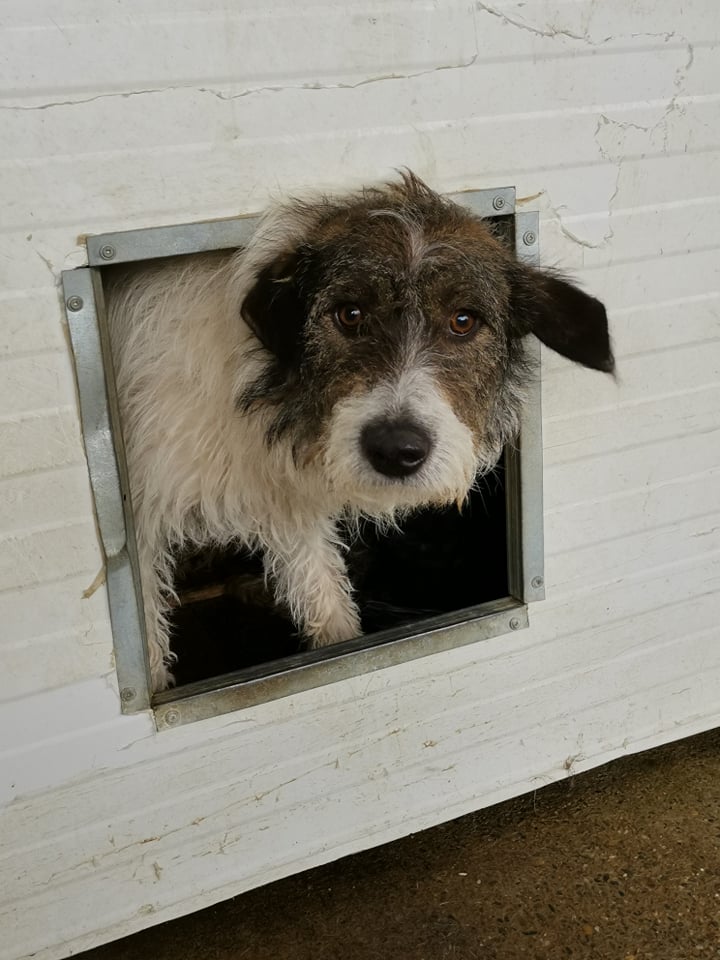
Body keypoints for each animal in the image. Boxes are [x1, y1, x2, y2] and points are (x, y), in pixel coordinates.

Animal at [107, 172, 612, 688]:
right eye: (349, 314)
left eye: (463, 321)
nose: (396, 450)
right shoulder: (144, 523)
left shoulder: (290, 510)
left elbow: (326, 600)